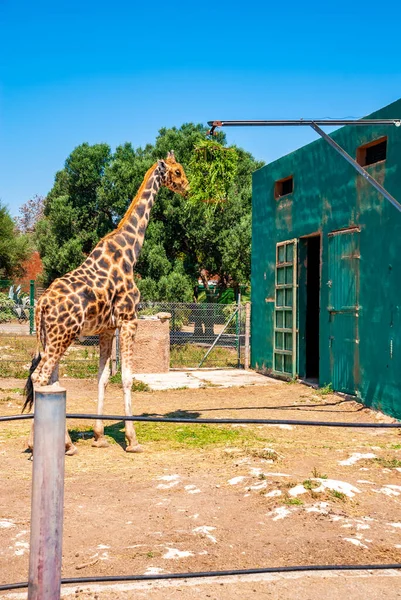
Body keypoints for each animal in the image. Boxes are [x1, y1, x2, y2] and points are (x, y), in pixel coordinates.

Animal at [23, 151, 189, 454]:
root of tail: (40, 305)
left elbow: (102, 377)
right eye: (178, 171)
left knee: (49, 379)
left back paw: (64, 443)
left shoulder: (106, 329)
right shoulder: (129, 320)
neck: (131, 251)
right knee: (40, 377)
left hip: (51, 337)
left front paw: (99, 436)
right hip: (62, 336)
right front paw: (132, 440)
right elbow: (127, 377)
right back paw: (42, 443)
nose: (188, 188)